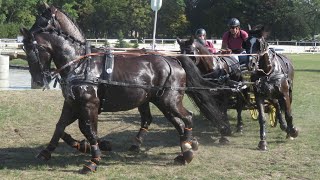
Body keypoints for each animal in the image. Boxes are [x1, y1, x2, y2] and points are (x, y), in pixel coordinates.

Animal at [20, 5, 228, 174]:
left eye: (34, 49)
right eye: (25, 49)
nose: (37, 81)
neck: (80, 63)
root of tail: (173, 60)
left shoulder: (89, 105)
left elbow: (89, 130)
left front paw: (93, 160)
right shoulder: (72, 104)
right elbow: (60, 127)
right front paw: (49, 151)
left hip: (170, 101)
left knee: (187, 118)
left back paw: (187, 151)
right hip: (159, 101)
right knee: (176, 123)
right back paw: (185, 146)